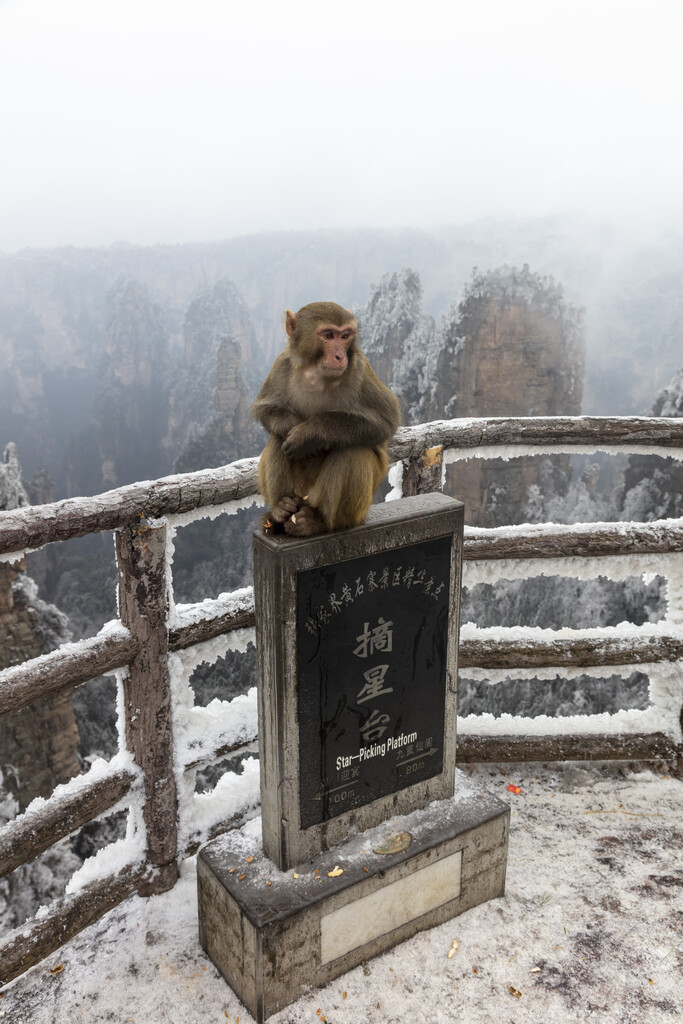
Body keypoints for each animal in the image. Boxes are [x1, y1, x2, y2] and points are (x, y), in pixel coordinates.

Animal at [250, 301, 401, 536]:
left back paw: (318, 521)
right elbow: (265, 408)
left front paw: (307, 435)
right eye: (329, 335)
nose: (340, 356)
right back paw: (281, 509)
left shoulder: (359, 370)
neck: (316, 372)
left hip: (347, 506)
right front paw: (291, 425)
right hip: (300, 490)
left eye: (345, 335)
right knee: (278, 439)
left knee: (352, 449)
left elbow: (386, 422)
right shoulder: (281, 365)